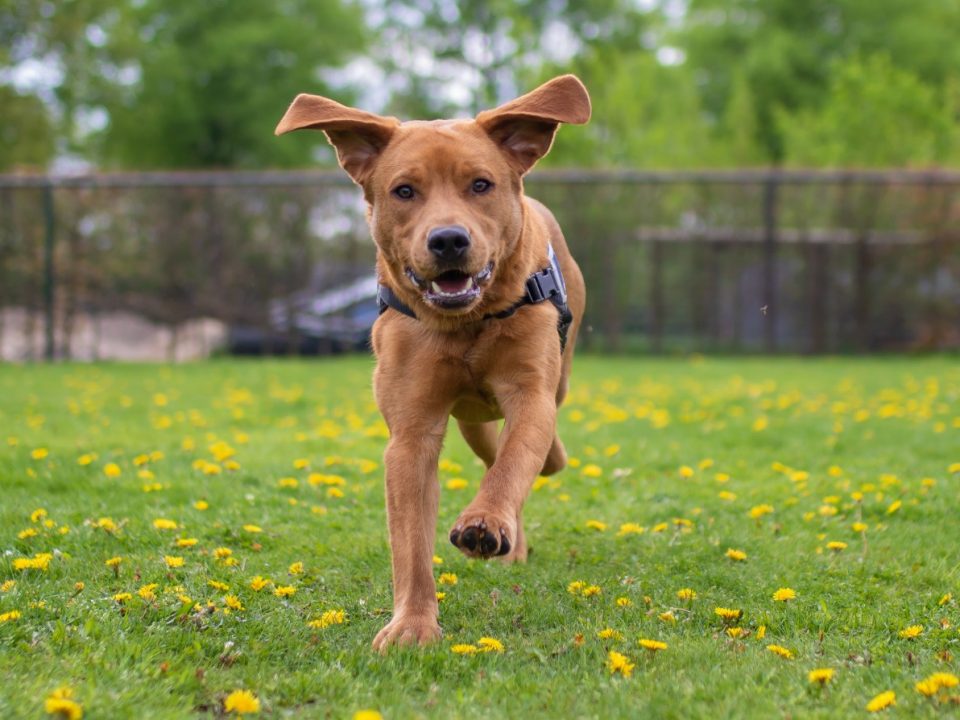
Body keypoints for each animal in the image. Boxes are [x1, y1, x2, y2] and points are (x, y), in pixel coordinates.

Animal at [278, 76, 588, 648]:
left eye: (481, 185)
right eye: (404, 191)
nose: (447, 239)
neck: (467, 323)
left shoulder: (530, 393)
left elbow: (515, 463)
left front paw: (485, 522)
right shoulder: (411, 431)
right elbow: (411, 542)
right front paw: (413, 624)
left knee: (531, 454)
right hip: (470, 419)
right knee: (490, 449)